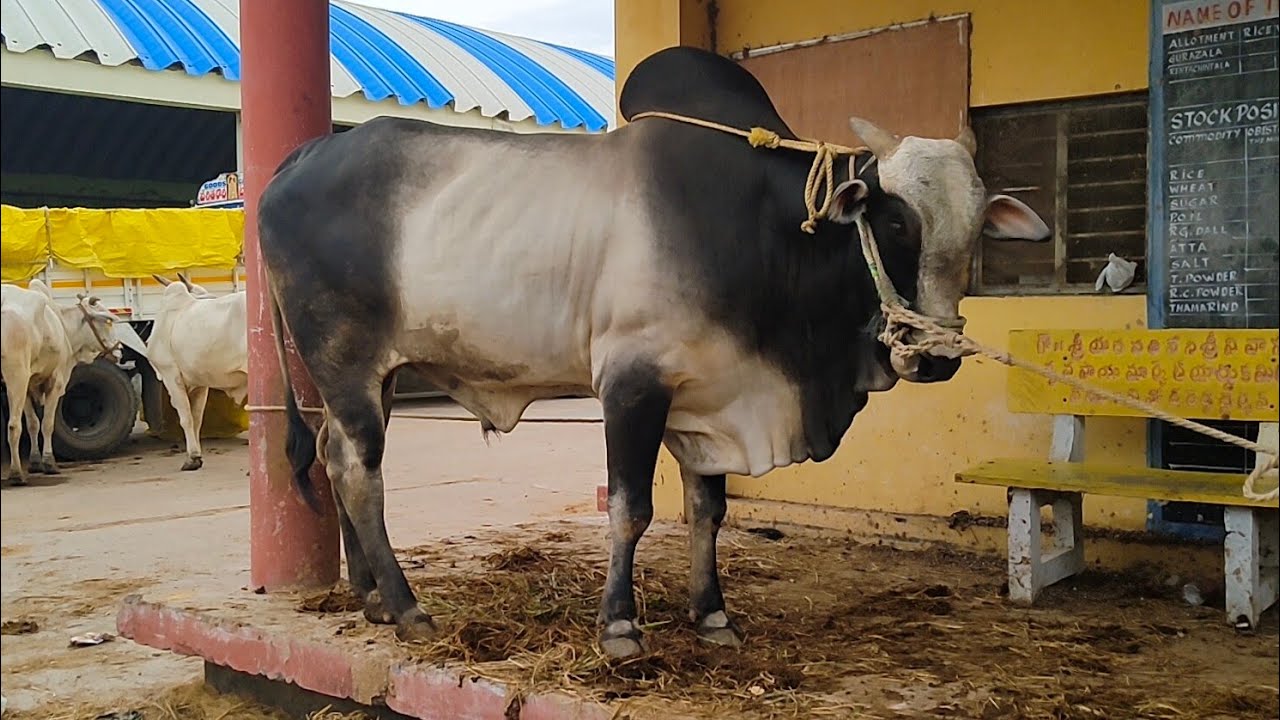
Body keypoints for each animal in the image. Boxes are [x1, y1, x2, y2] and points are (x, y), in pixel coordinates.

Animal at [2, 279, 121, 484]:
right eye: (107, 322)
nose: (119, 351)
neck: (63, 326)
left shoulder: (28, 386)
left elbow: (33, 424)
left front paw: (35, 462)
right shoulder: (54, 383)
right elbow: (47, 424)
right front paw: (49, 463)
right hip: (15, 376)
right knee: (13, 426)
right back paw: (16, 474)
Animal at [146, 274, 248, 471]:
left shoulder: (171, 375)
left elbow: (185, 418)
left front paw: (192, 458)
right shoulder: (200, 384)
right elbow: (196, 418)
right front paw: (197, 456)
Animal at [258, 46, 1050, 658]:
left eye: (977, 230)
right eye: (892, 220)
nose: (937, 355)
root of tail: (299, 158)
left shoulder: (712, 395)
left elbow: (708, 511)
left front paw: (713, 615)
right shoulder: (632, 385)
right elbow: (631, 510)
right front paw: (620, 629)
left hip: (374, 377)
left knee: (331, 455)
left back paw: (369, 597)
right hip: (346, 361)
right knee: (357, 470)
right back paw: (406, 608)